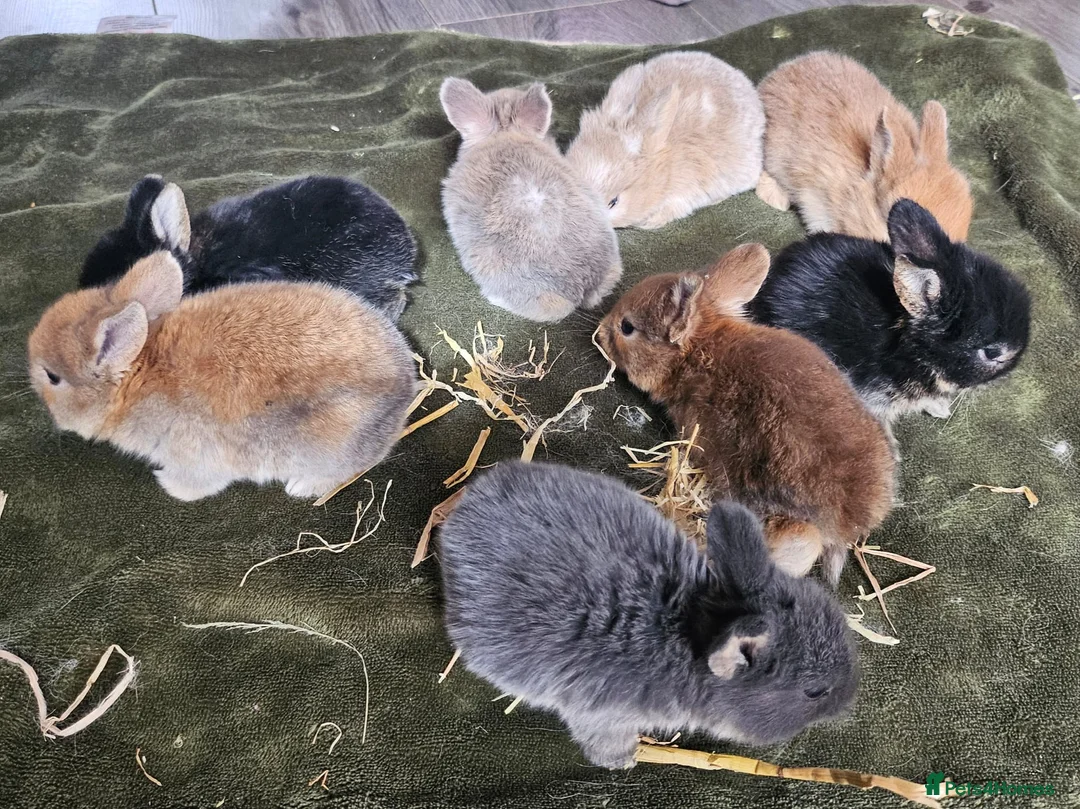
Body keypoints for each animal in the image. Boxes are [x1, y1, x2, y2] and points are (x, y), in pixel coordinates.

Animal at [29, 251, 417, 501]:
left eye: (52, 377)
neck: (141, 370)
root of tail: (406, 385)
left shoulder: (191, 455)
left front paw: (168, 485)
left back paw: (301, 487)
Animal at [439, 461, 858, 770]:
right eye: (815, 691)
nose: (852, 696)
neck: (691, 628)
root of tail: (462, 515)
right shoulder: (605, 715)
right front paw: (623, 761)